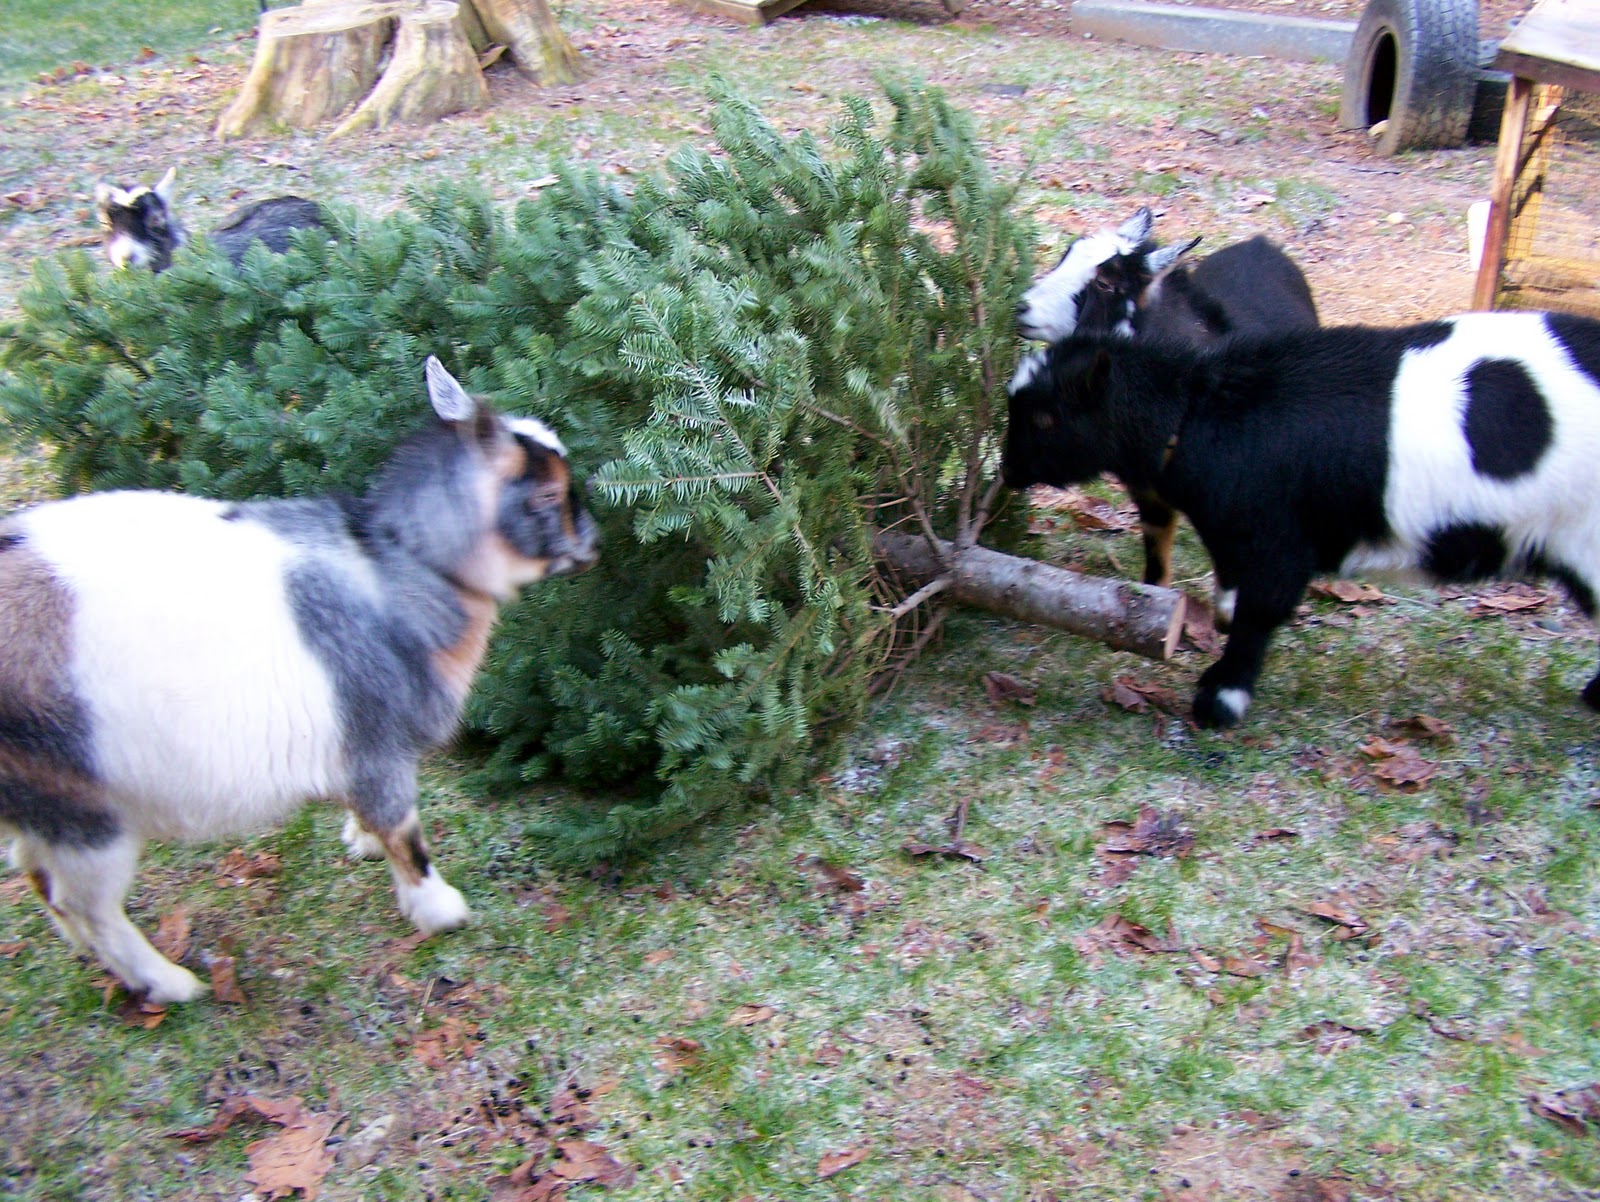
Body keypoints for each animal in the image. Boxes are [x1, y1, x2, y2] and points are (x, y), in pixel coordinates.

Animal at [0, 358, 598, 1003]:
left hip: (45, 804)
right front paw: (441, 910)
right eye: (546, 494)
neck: (403, 567)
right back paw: (169, 982)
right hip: (87, 812)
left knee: (39, 877)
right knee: (87, 905)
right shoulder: (378, 742)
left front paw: (361, 842)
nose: (595, 543)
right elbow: (404, 831)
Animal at [1002, 310, 1600, 728]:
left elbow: (1261, 612)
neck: (1199, 409)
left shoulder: (1280, 541)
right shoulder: (1235, 533)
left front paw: (1220, 699)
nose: (1006, 469)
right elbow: (1232, 588)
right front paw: (1220, 625)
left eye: (1045, 417)